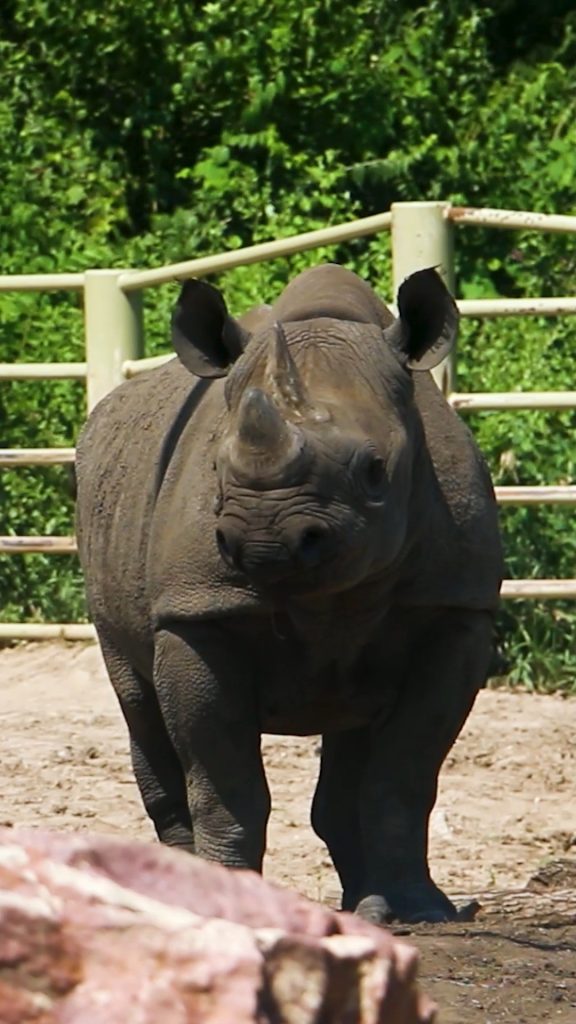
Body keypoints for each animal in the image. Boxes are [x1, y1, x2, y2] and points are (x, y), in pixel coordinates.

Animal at [75, 263, 502, 924]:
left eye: (375, 471)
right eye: (217, 470)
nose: (265, 540)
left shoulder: (454, 608)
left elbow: (404, 776)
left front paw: (420, 911)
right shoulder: (196, 613)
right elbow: (225, 783)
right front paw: (225, 901)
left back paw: (369, 908)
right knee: (138, 698)